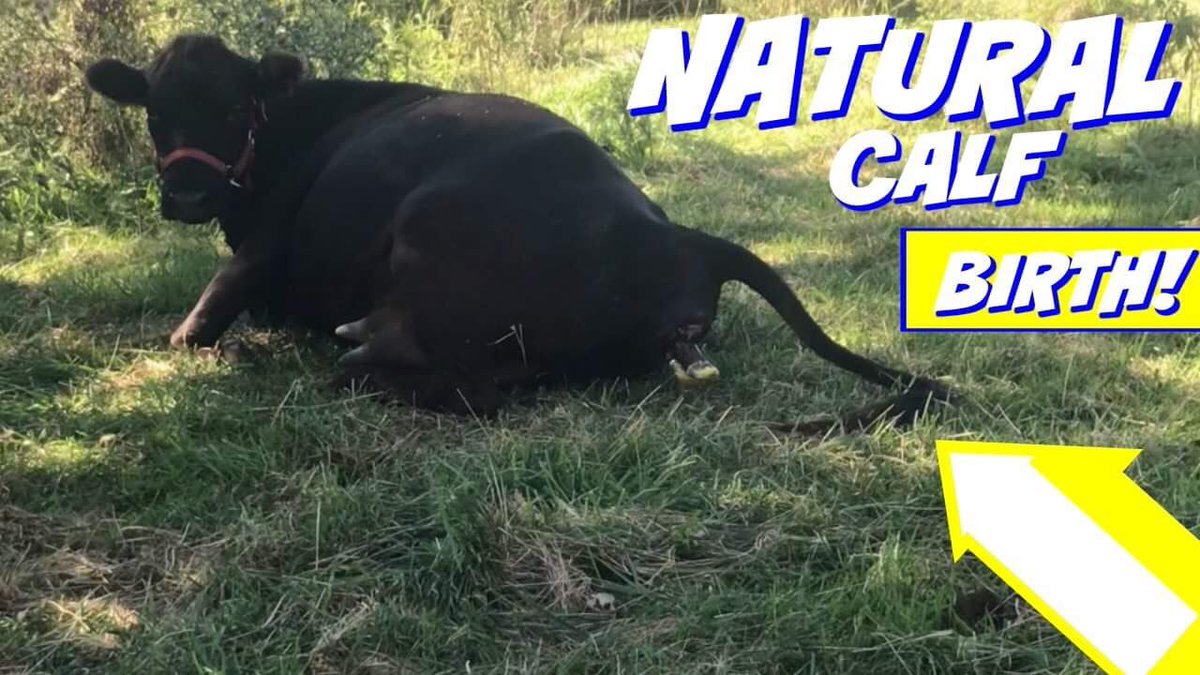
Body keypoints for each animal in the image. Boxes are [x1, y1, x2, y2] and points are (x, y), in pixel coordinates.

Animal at [84, 35, 951, 431]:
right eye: (154, 115)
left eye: (235, 108)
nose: (186, 195)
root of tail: (678, 236)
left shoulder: (257, 256)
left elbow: (189, 330)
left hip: (431, 224)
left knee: (465, 385)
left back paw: (365, 351)